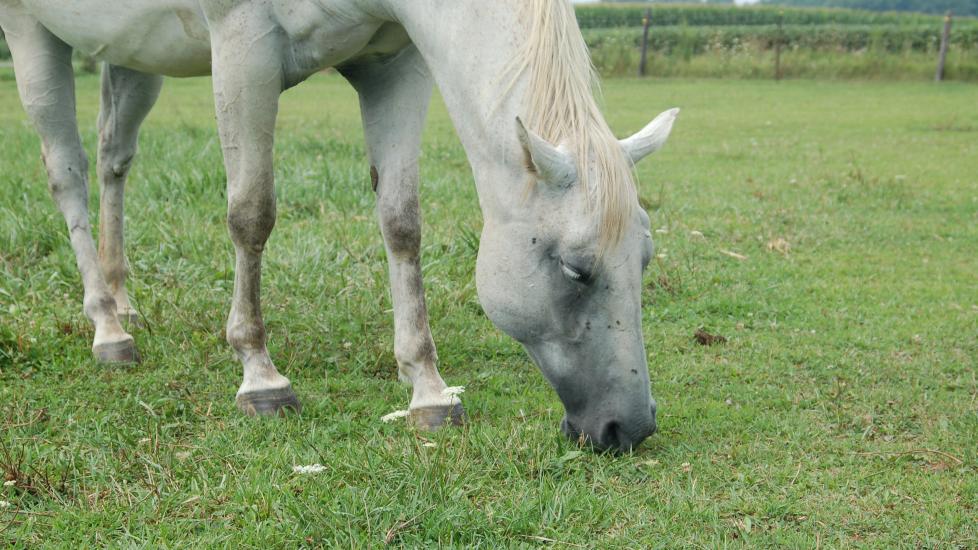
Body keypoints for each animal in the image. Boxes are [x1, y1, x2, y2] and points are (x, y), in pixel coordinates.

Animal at [0, 0, 677, 452]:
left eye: (643, 259)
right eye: (575, 269)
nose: (630, 428)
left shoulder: (396, 63)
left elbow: (401, 222)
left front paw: (428, 390)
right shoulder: (243, 47)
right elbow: (251, 213)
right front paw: (259, 377)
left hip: (133, 53)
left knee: (113, 158)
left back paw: (123, 300)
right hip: (31, 33)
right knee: (68, 173)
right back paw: (108, 328)